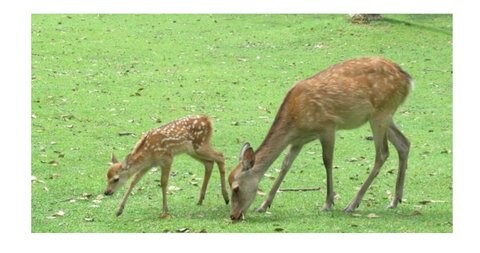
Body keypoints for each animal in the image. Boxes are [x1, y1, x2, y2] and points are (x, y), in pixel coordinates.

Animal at [229, 56, 412, 220]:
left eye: (236, 188)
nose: (233, 215)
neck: (295, 122)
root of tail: (408, 80)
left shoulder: (328, 126)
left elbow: (327, 161)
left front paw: (328, 203)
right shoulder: (298, 141)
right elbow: (285, 164)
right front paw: (263, 205)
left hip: (380, 113)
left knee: (382, 153)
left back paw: (352, 204)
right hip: (384, 115)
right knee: (404, 143)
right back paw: (395, 200)